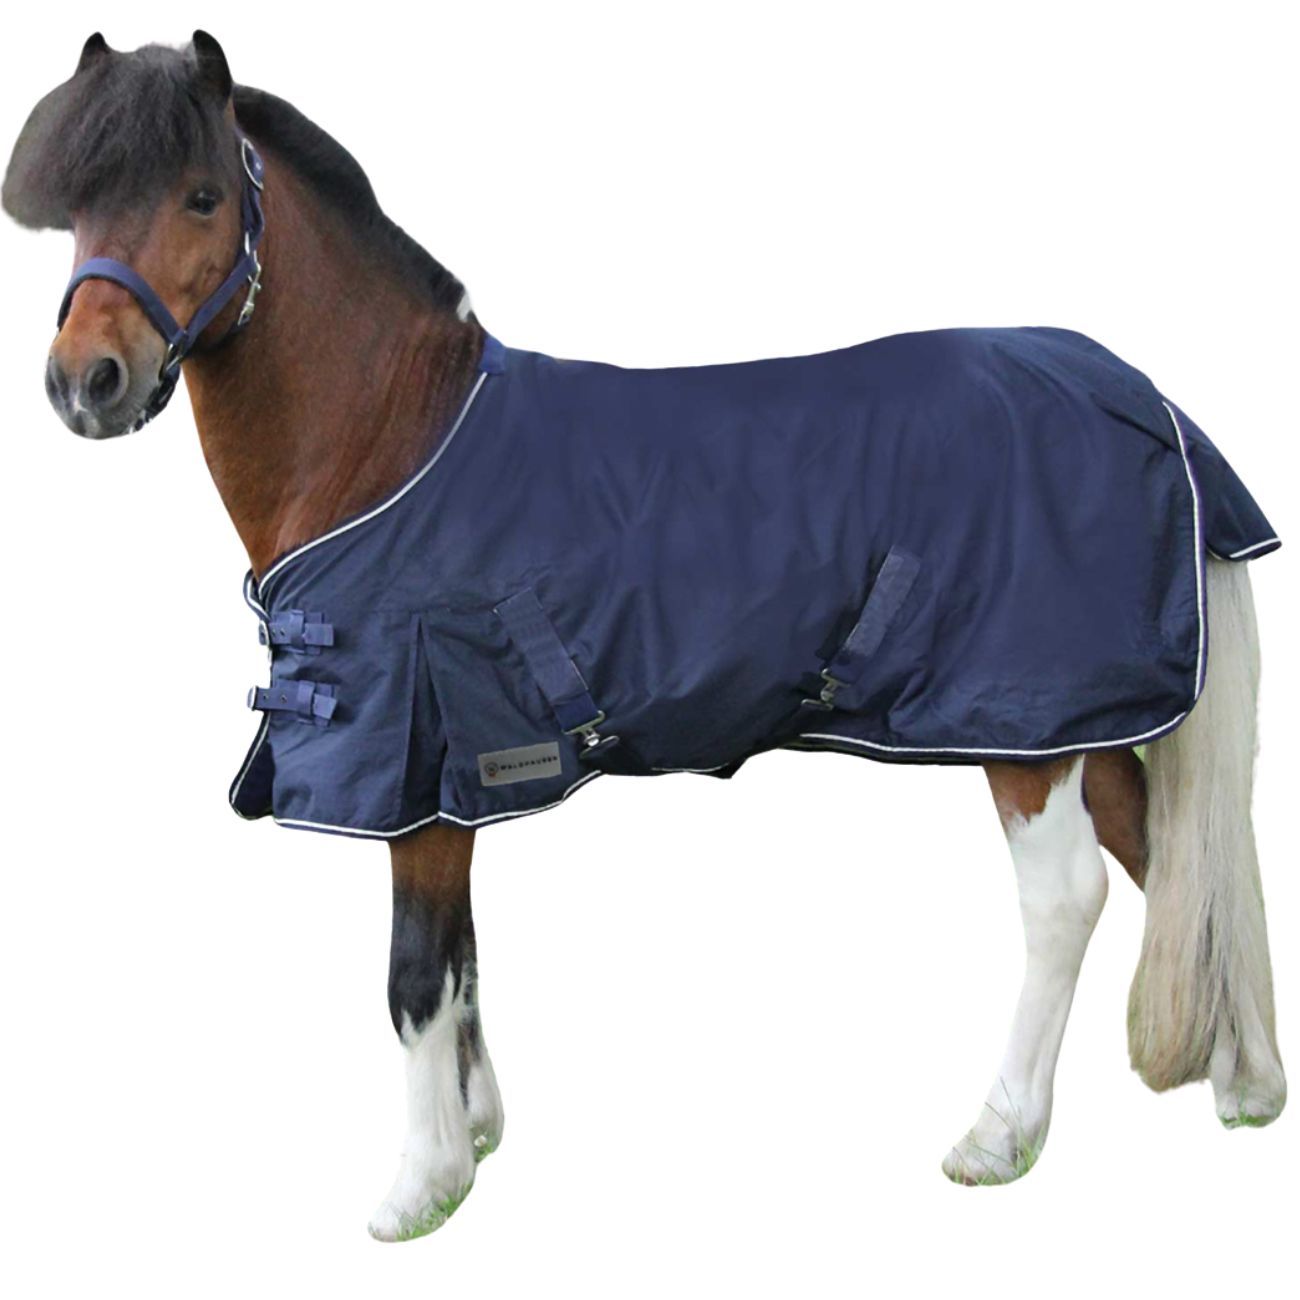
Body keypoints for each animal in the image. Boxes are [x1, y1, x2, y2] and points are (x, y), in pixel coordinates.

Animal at [3, 32, 1286, 1241]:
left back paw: (997, 1133)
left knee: (1065, 898)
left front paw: (420, 1186)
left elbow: (415, 976)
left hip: (1024, 732)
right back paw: (1245, 1084)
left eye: (200, 197)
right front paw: (476, 1134)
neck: (391, 440)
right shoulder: (460, 780)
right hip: (1093, 719)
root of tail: (1146, 399)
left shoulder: (420, 769)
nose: (86, 382)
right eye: (82, 210)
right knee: (1175, 862)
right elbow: (465, 960)